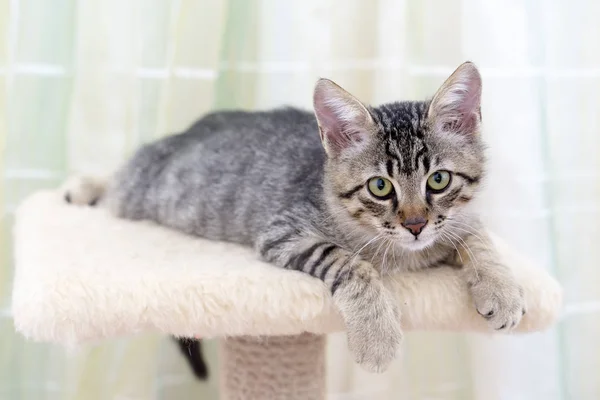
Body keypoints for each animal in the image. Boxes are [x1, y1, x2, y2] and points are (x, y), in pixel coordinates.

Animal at [65, 61, 524, 374]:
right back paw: (81, 187)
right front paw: (376, 337)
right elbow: (351, 263)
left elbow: (477, 236)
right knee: (117, 180)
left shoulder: (457, 221)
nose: (415, 224)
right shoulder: (283, 231)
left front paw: (501, 288)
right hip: (143, 189)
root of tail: (194, 127)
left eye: (439, 180)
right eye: (380, 187)